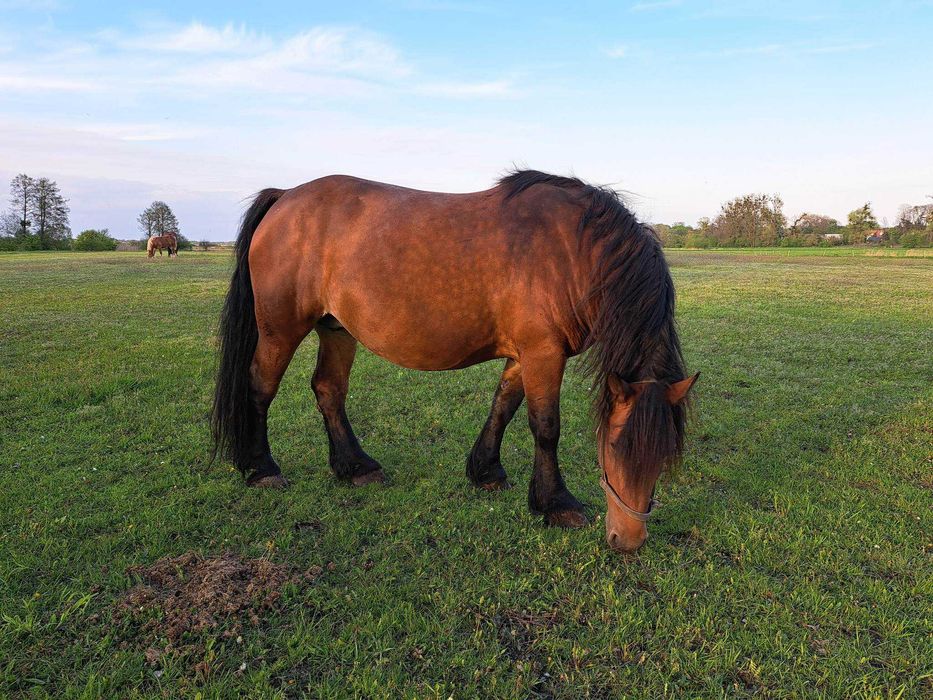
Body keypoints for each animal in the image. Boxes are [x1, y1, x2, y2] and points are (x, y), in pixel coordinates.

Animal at [209, 170, 692, 552]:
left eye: (666, 455)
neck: (574, 251)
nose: (628, 539)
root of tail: (285, 196)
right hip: (281, 329)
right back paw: (261, 468)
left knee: (328, 390)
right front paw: (557, 504)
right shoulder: (543, 352)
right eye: (614, 447)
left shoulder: (524, 354)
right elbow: (545, 427)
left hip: (336, 328)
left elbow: (503, 406)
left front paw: (486, 471)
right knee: (260, 387)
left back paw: (356, 467)